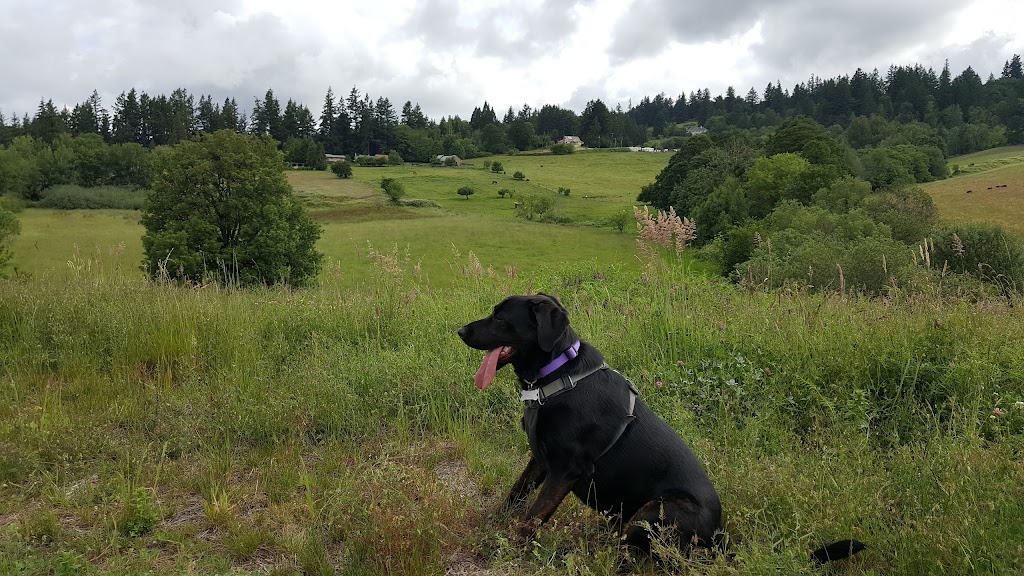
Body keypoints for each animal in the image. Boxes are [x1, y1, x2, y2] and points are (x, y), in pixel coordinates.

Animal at [456, 291, 864, 561]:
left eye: (500, 319)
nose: (460, 331)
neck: (557, 374)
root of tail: (718, 536)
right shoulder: (540, 461)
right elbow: (515, 496)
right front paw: (493, 526)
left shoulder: (565, 469)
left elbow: (532, 515)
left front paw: (507, 548)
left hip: (656, 510)